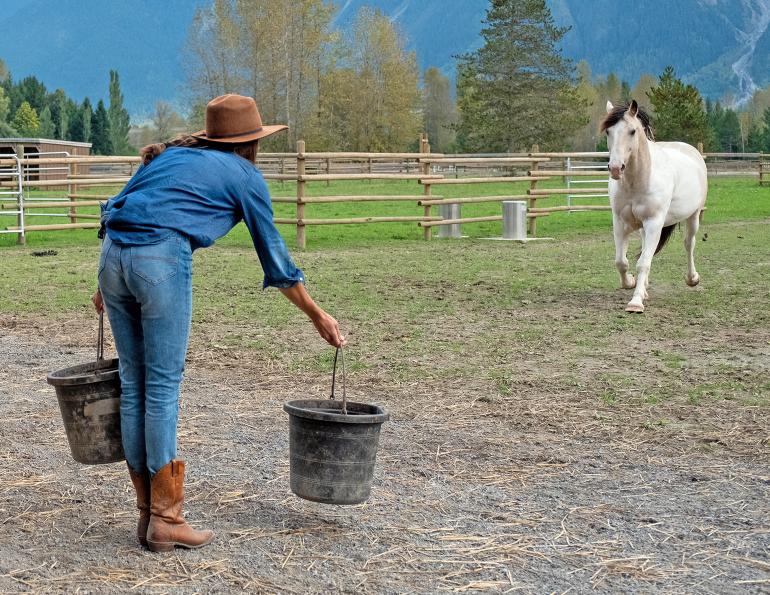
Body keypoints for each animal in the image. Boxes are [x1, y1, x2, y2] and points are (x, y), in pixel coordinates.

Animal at [601, 100, 708, 313]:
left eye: (632, 131)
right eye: (608, 131)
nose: (616, 168)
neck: (638, 180)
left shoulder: (654, 222)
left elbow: (643, 263)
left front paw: (635, 302)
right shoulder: (620, 222)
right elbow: (621, 261)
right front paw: (631, 283)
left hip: (693, 216)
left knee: (689, 243)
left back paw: (692, 279)